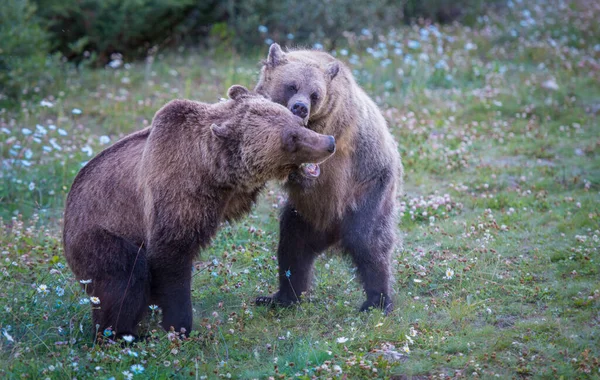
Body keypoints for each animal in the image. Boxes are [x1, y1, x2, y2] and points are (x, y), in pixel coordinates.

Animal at [64, 84, 338, 336]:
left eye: (299, 121)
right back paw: (121, 335)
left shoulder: (224, 192)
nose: (329, 143)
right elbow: (171, 255)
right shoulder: (175, 191)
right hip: (98, 235)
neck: (208, 167)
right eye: (290, 139)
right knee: (125, 276)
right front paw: (180, 325)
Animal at [253, 43, 404, 312]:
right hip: (304, 215)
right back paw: (281, 297)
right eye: (292, 85)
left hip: (369, 191)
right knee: (293, 247)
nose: (300, 106)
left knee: (370, 243)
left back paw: (377, 301)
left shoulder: (334, 125)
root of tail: (332, 231)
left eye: (315, 94)